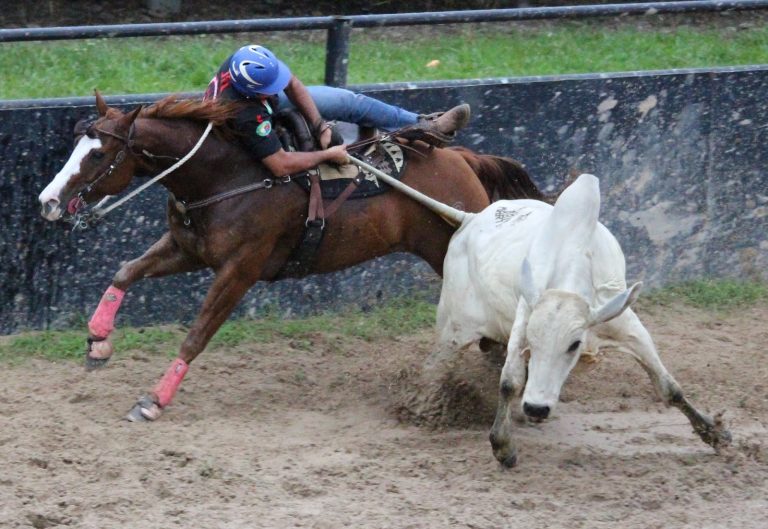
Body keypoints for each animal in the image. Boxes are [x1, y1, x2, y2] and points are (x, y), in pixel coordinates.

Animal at [37, 92, 544, 420]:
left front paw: (153, 400)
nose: (48, 201)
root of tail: (463, 159)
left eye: (97, 153)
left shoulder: (239, 271)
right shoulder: (188, 249)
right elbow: (126, 272)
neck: (230, 174)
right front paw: (98, 342)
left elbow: (196, 336)